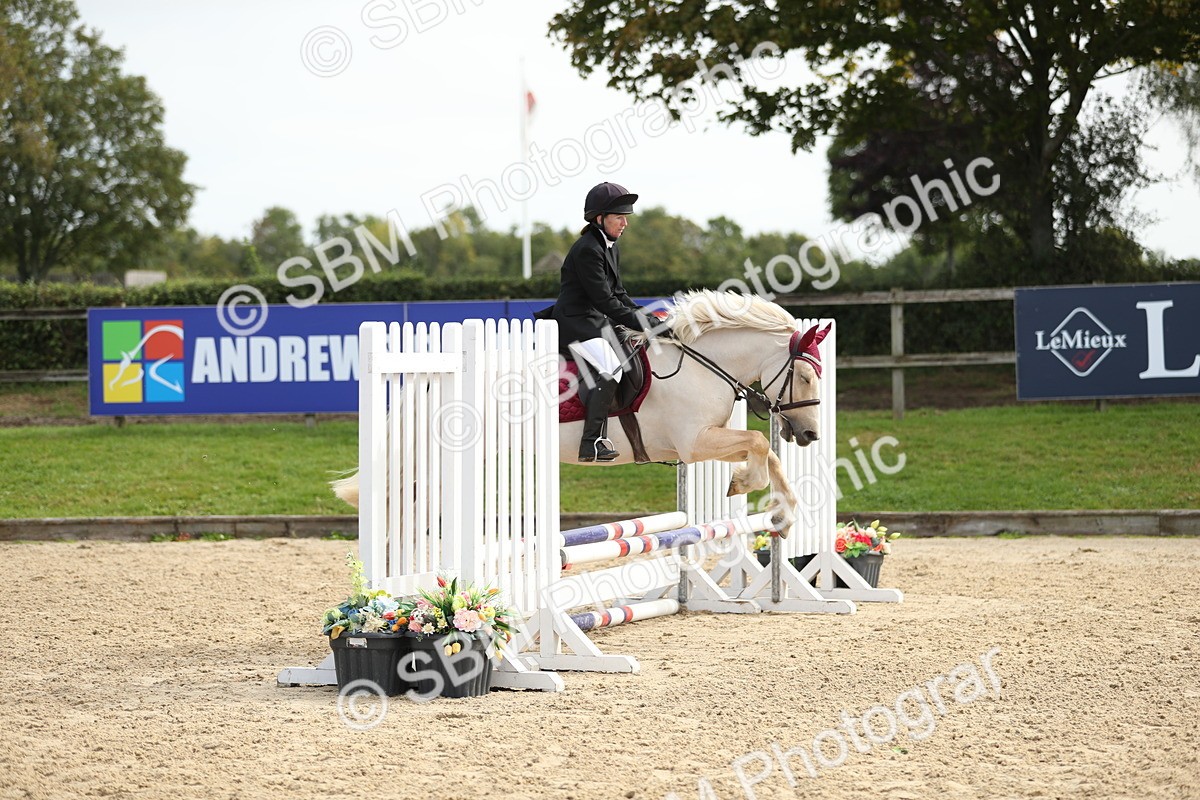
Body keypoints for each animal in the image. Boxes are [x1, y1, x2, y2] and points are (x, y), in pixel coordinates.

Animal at [330, 290, 829, 536]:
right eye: (805, 377)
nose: (810, 436)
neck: (701, 360)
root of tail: (435, 375)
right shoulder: (694, 442)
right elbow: (760, 443)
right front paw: (744, 484)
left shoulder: (706, 440)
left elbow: (768, 452)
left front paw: (783, 515)